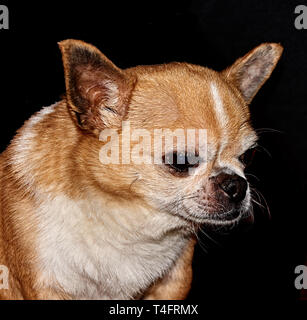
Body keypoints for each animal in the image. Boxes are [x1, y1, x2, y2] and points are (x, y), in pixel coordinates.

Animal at [0, 40, 284, 300]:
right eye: (181, 161)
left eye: (248, 155)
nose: (236, 185)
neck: (130, 222)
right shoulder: (46, 285)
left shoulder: (172, 283)